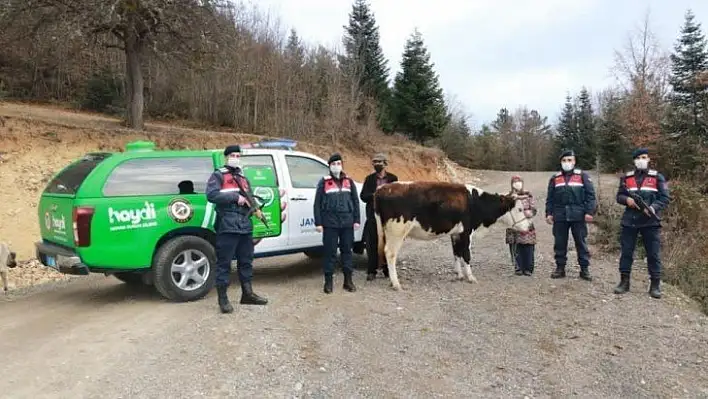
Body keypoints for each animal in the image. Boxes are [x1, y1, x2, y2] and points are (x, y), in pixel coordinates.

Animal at [376, 182, 532, 290]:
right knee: (390, 253)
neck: (475, 202)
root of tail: (382, 189)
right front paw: (470, 277)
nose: (529, 226)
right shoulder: (467, 232)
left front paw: (459, 274)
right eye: (520, 209)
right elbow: (466, 254)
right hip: (397, 231)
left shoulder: (456, 233)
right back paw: (396, 283)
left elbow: (456, 252)